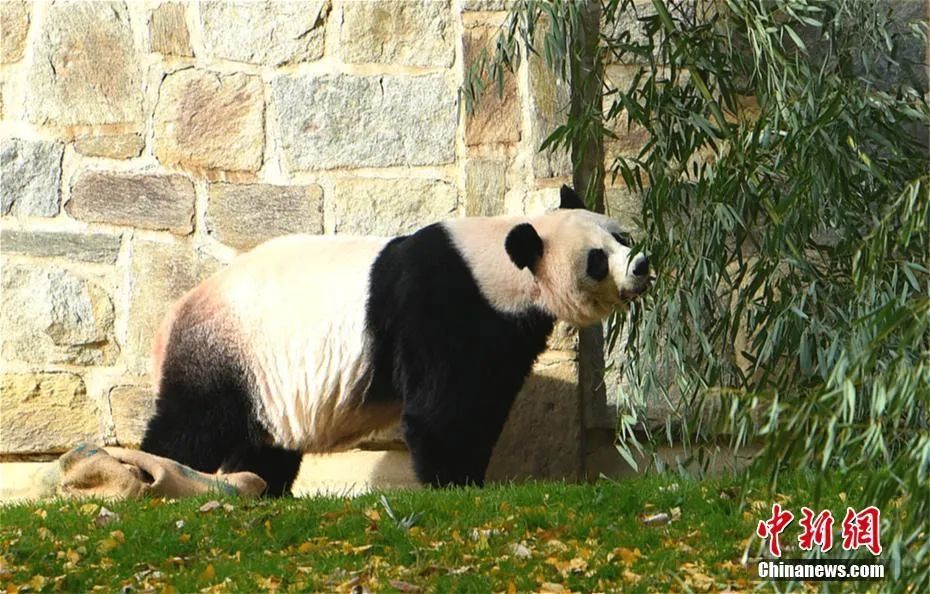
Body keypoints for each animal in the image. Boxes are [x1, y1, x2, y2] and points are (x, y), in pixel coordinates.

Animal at [141, 187, 648, 492]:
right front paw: (456, 484)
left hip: (268, 381)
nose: (642, 265)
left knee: (264, 443)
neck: (502, 266)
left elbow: (488, 399)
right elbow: (443, 409)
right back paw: (155, 472)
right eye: (597, 260)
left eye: (622, 235)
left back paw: (263, 488)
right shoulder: (442, 304)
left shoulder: (506, 331)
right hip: (228, 353)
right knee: (192, 423)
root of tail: (170, 319)